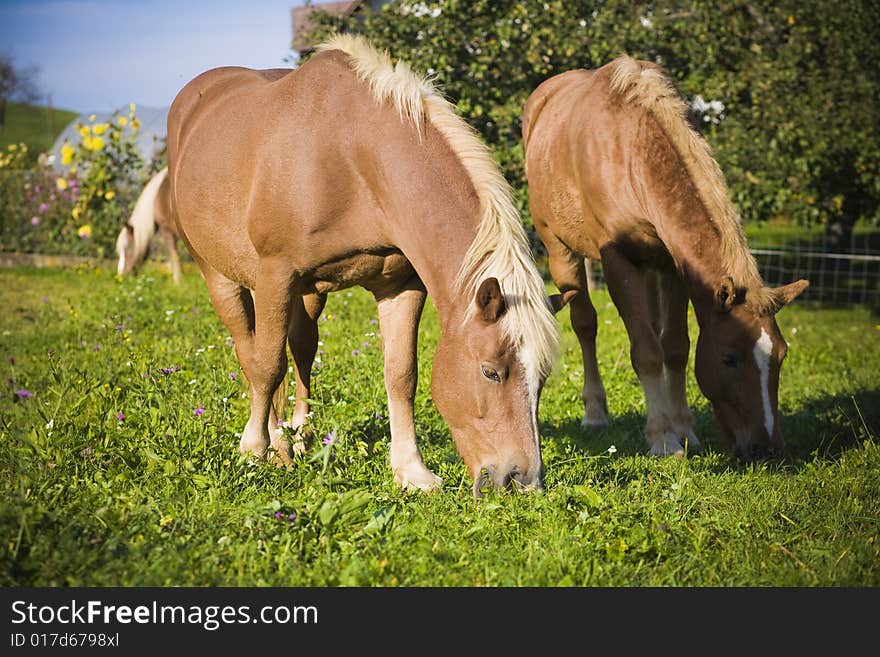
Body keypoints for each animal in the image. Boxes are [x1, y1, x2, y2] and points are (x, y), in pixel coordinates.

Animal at [167, 32, 572, 492]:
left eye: (542, 379)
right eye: (490, 372)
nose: (521, 480)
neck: (351, 158)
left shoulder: (399, 284)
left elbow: (401, 374)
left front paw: (411, 470)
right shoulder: (276, 274)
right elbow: (266, 366)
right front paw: (252, 451)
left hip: (309, 294)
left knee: (300, 350)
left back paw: (297, 438)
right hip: (222, 275)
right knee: (251, 351)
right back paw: (272, 442)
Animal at [524, 56, 812, 458]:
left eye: (781, 355)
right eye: (730, 358)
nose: (767, 448)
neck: (633, 150)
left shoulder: (672, 266)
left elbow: (674, 347)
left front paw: (684, 430)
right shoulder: (618, 261)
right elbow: (646, 351)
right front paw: (662, 437)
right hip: (559, 250)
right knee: (585, 324)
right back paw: (595, 414)